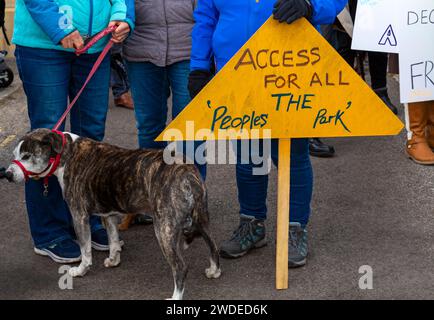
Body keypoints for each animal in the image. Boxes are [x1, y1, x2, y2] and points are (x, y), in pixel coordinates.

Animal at [6, 128, 222, 300]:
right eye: (16, 154)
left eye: (26, 156)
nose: (7, 174)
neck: (65, 154)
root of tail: (187, 175)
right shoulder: (108, 215)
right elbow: (113, 239)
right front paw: (113, 259)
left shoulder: (79, 216)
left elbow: (85, 249)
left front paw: (81, 270)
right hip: (202, 219)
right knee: (213, 244)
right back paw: (214, 271)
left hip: (164, 229)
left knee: (180, 267)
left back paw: (176, 296)